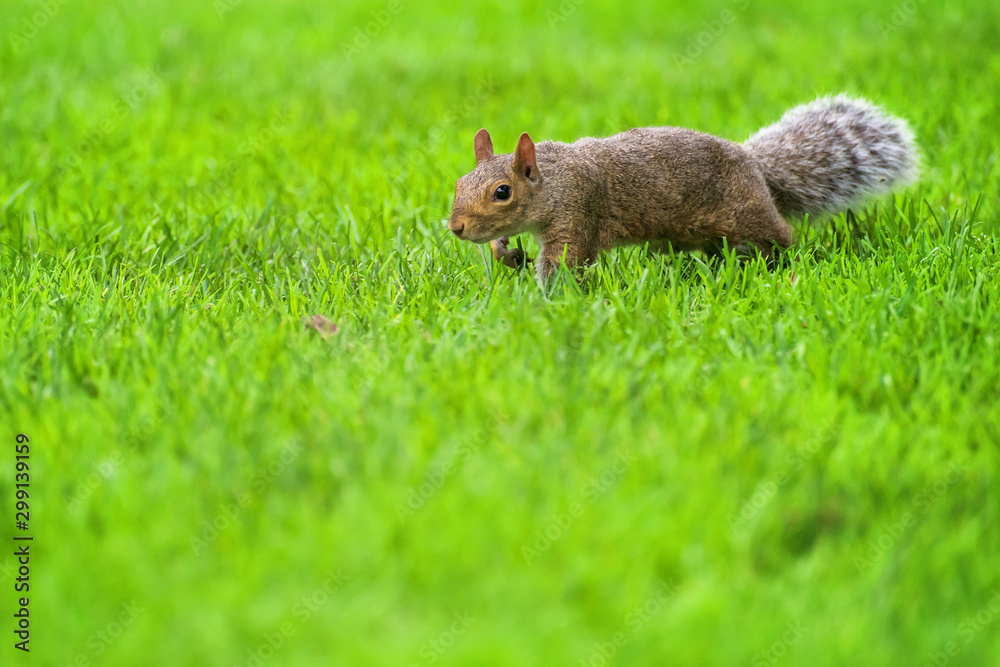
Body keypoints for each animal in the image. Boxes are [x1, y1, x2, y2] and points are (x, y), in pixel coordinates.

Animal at [447, 95, 918, 283]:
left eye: (502, 192)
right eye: (458, 183)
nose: (456, 228)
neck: (554, 179)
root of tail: (756, 165)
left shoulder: (578, 213)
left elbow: (563, 263)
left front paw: (545, 301)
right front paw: (505, 253)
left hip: (745, 215)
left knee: (780, 236)